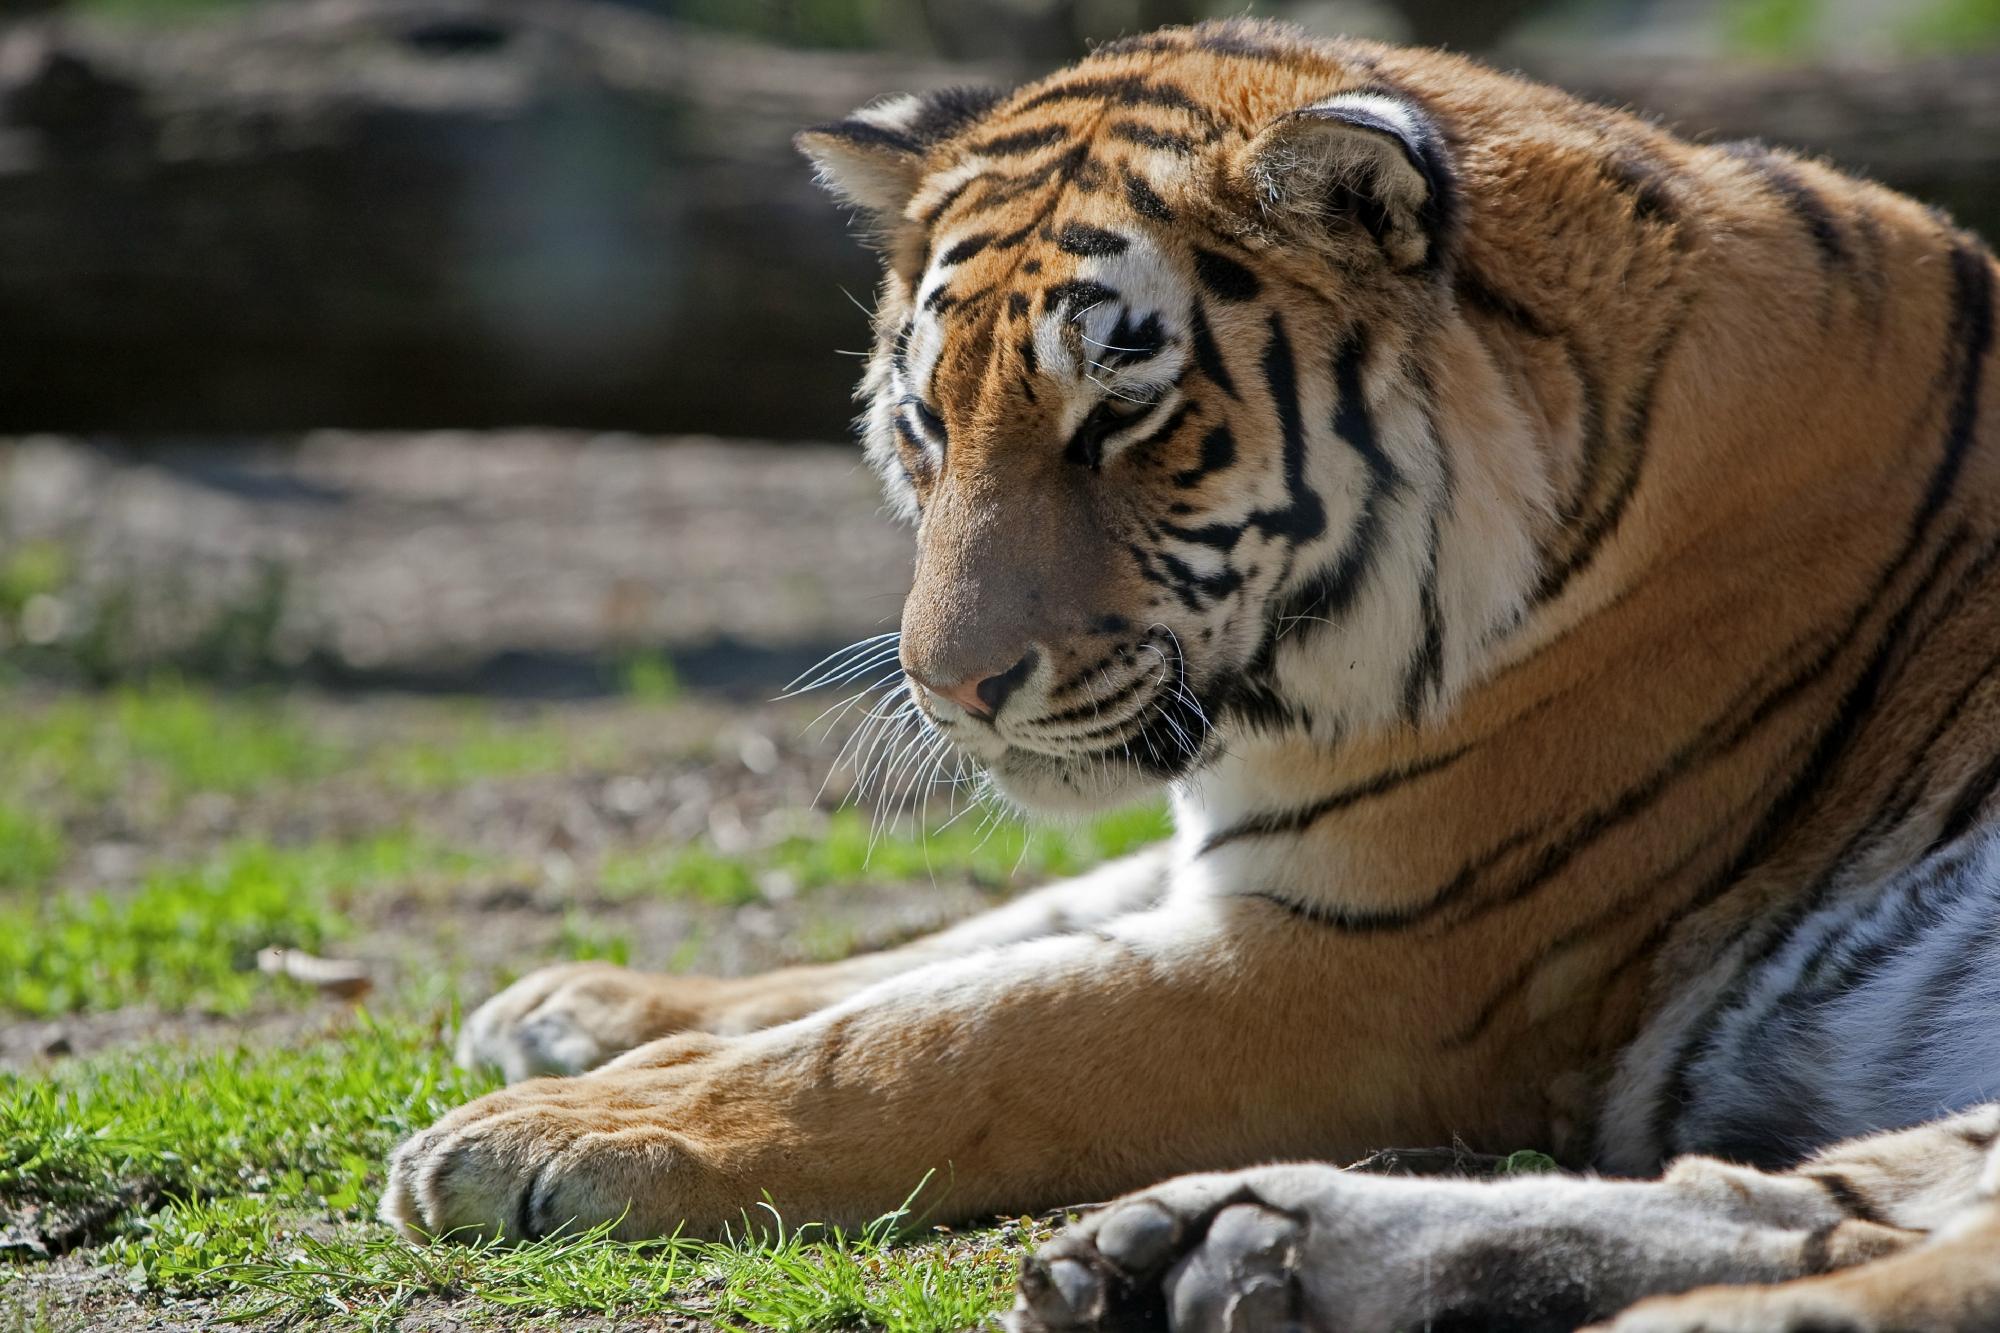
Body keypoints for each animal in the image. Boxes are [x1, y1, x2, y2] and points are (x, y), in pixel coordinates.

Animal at [382, 18, 2000, 1328]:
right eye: (927, 420)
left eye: (1120, 415)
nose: (949, 688)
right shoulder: (1247, 862)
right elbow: (948, 944)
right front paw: (583, 1003)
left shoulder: (1368, 965)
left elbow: (947, 1032)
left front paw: (541, 1134)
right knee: (1811, 1204)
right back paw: (1205, 1254)